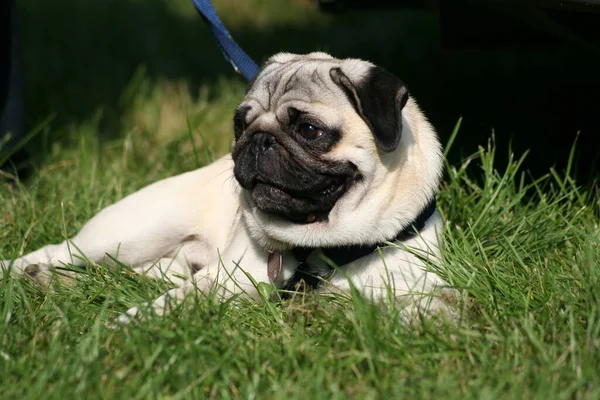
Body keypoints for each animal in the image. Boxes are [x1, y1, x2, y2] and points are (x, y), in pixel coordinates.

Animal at [0, 53, 452, 322]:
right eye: (240, 123)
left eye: (309, 130)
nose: (259, 140)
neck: (320, 247)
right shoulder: (226, 280)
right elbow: (172, 302)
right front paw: (130, 323)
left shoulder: (412, 287)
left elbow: (429, 308)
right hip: (133, 233)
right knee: (63, 251)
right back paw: (23, 271)